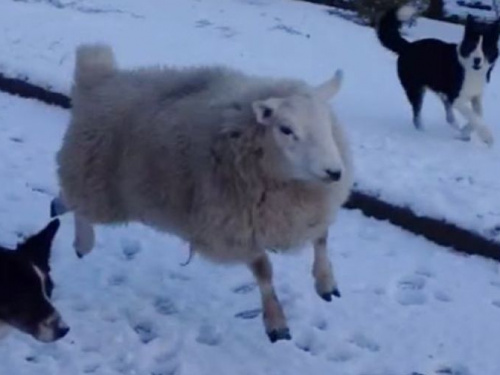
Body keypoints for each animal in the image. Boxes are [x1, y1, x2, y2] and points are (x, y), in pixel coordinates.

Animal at [52, 44, 354, 344]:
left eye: (327, 124)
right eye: (286, 129)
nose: (334, 172)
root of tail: (98, 78)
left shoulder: (306, 212)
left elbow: (322, 239)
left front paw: (326, 283)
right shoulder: (230, 230)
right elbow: (264, 270)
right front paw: (276, 322)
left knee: (67, 201)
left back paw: (59, 212)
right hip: (96, 184)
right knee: (77, 204)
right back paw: (82, 241)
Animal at [376, 4, 498, 145]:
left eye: (485, 47)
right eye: (472, 45)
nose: (477, 60)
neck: (469, 68)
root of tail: (407, 46)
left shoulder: (475, 96)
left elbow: (478, 115)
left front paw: (465, 132)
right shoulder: (456, 98)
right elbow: (474, 116)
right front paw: (487, 136)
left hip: (439, 92)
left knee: (449, 117)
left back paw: (457, 129)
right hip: (415, 89)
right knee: (417, 116)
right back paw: (423, 132)